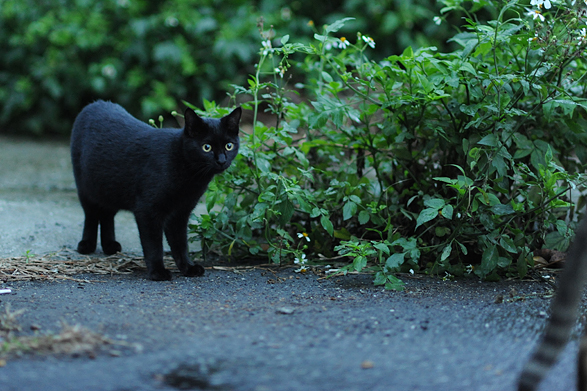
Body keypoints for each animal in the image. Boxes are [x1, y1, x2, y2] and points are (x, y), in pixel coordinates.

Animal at [71, 99, 241, 280]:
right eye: (206, 147)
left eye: (229, 146)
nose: (221, 160)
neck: (190, 175)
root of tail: (96, 103)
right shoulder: (147, 210)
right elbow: (153, 245)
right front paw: (158, 271)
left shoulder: (180, 212)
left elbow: (180, 244)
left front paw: (188, 267)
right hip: (86, 188)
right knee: (91, 214)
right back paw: (87, 244)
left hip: (110, 189)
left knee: (107, 215)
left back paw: (110, 245)